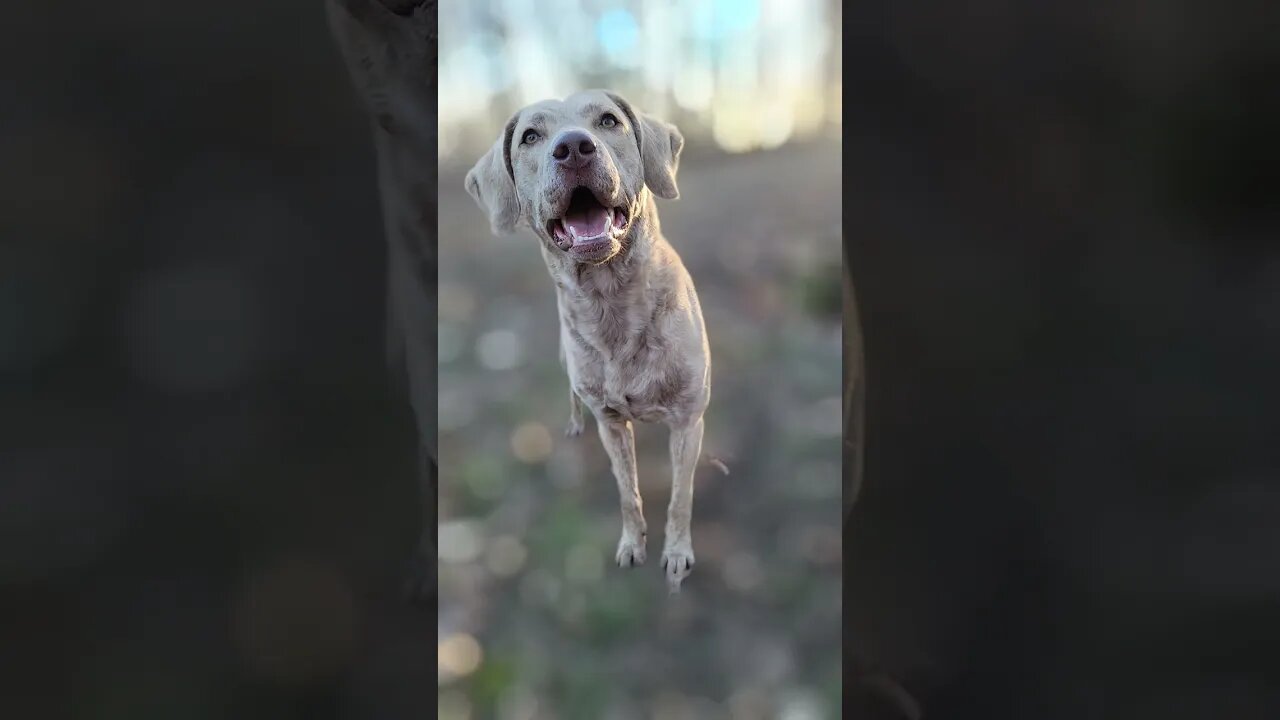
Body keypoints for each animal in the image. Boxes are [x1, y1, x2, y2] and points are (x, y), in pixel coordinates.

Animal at [463, 89, 721, 591]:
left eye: (608, 121)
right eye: (530, 136)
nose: (573, 148)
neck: (612, 300)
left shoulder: (686, 421)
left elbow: (680, 495)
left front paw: (676, 553)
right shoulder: (611, 423)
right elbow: (627, 491)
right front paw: (632, 544)